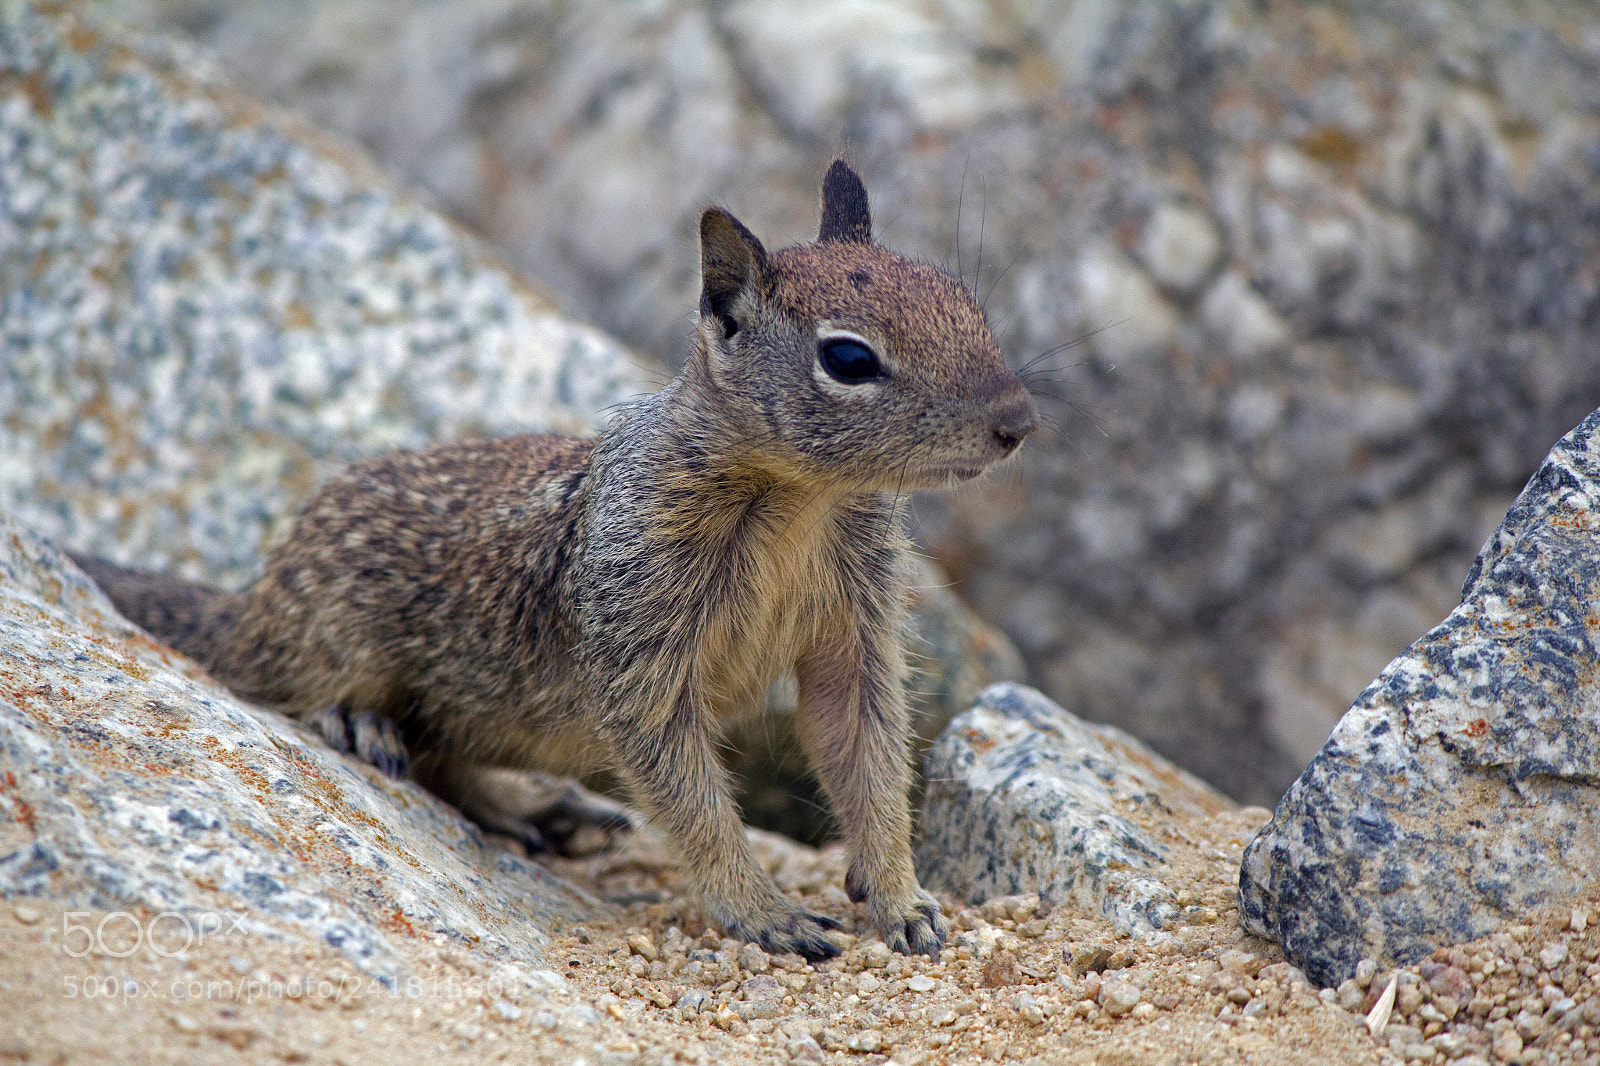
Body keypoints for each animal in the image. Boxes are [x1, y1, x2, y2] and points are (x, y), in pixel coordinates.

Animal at [73, 161, 1039, 960]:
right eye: (847, 358)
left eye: (967, 304)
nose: (1020, 423)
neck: (802, 499)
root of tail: (254, 596)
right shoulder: (638, 632)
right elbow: (687, 792)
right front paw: (763, 910)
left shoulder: (856, 629)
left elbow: (864, 756)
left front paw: (902, 897)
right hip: (337, 637)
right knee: (337, 704)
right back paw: (364, 727)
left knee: (449, 765)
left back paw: (537, 809)